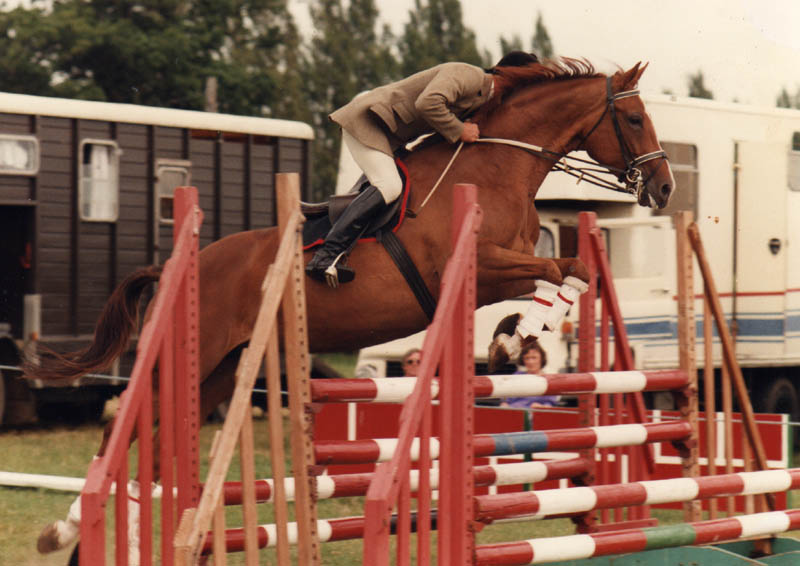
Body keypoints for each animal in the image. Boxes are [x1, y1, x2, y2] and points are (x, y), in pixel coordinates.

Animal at [31, 58, 672, 564]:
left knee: (158, 439)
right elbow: (560, 269)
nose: (664, 189)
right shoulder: (477, 263)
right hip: (196, 351)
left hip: (222, 369)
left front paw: (511, 340)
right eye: (634, 119)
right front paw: (509, 343)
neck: (496, 166)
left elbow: (571, 272)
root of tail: (178, 265)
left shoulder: (499, 271)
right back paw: (63, 530)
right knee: (122, 420)